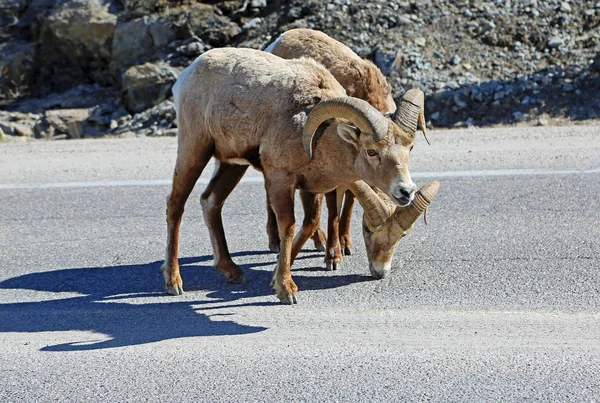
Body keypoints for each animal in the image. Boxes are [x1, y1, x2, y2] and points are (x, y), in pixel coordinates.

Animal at [164, 47, 424, 304]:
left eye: (410, 148)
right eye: (371, 151)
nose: (405, 191)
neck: (315, 136)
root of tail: (187, 74)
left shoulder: (311, 187)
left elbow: (310, 224)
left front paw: (276, 278)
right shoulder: (280, 179)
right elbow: (288, 227)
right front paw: (286, 289)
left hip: (233, 165)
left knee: (211, 202)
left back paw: (232, 271)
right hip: (194, 149)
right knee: (176, 205)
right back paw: (174, 282)